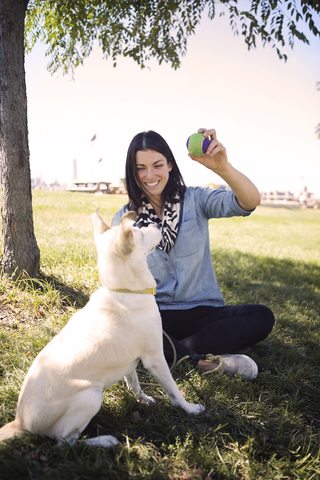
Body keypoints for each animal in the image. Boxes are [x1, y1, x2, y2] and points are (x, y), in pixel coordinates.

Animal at [0, 210, 204, 446]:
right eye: (140, 233)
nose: (157, 225)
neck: (123, 291)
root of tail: (21, 423)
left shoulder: (130, 362)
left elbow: (134, 384)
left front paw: (142, 400)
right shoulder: (155, 358)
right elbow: (173, 390)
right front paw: (190, 408)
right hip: (92, 396)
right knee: (65, 441)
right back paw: (104, 441)